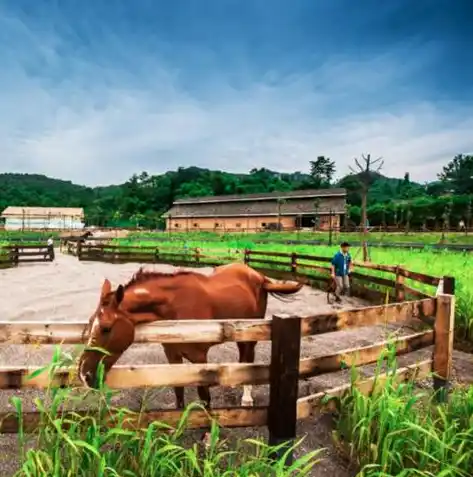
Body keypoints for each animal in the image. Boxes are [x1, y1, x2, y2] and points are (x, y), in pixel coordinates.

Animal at [75, 262, 300, 408]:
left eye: (106, 328)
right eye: (90, 323)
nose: (84, 375)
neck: (174, 310)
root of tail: (258, 276)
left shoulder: (199, 358)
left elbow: (204, 395)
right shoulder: (172, 356)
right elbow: (178, 389)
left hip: (251, 331)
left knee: (248, 357)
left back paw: (247, 397)